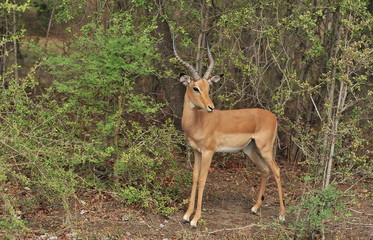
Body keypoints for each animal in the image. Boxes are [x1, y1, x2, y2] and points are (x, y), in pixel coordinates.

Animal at [172, 36, 284, 228]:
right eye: (196, 88)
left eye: (208, 88)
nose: (211, 107)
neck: (198, 122)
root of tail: (273, 116)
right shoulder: (197, 151)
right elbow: (194, 178)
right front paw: (186, 215)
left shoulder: (208, 152)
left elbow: (202, 180)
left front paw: (195, 219)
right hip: (250, 149)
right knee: (265, 170)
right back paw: (254, 208)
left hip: (265, 149)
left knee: (276, 171)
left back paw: (282, 215)